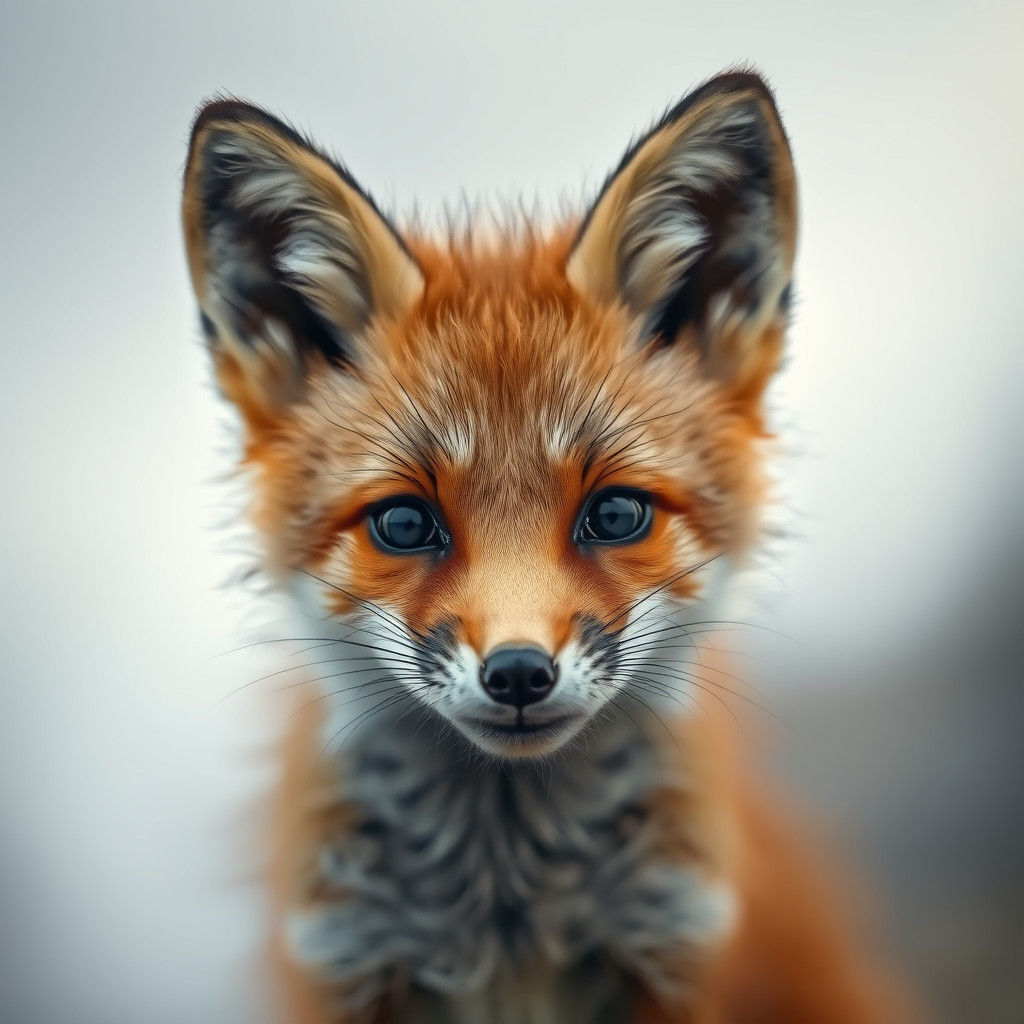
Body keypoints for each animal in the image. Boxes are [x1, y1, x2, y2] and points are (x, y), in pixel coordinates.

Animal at [182, 71, 907, 1023]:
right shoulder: (346, 963)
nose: (520, 673)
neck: (508, 918)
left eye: (615, 514)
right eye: (405, 524)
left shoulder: (672, 951)